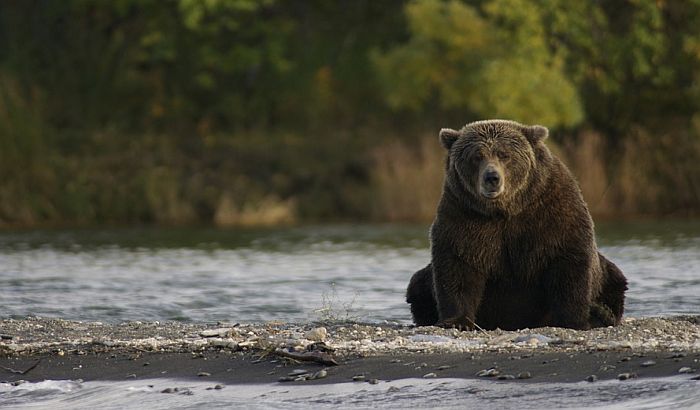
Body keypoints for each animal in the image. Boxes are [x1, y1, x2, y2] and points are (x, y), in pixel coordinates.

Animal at [404, 118, 628, 330]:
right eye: (477, 156)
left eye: (504, 154)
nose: (492, 177)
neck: (505, 210)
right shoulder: (463, 215)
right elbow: (458, 265)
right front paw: (457, 321)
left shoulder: (552, 211)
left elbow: (568, 263)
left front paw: (573, 320)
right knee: (417, 284)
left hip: (608, 276)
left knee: (615, 279)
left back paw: (601, 313)